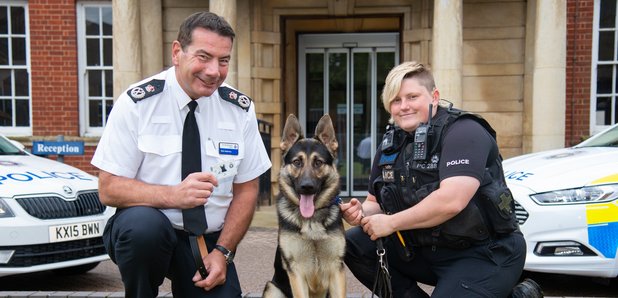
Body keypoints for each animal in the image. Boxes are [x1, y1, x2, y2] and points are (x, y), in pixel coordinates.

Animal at [262, 114, 346, 298]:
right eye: (297, 162)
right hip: (271, 287)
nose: (306, 187)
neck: (311, 222)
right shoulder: (296, 272)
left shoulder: (336, 270)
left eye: (318, 162)